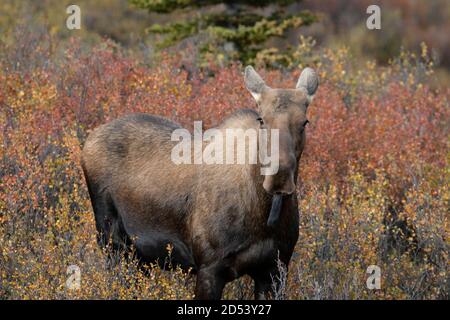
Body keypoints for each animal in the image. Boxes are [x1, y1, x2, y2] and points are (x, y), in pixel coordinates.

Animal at [81, 65, 320, 300]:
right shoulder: (209, 268)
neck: (262, 214)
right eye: (261, 119)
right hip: (111, 241)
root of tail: (89, 139)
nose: (279, 178)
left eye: (305, 122)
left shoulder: (275, 270)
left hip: (140, 257)